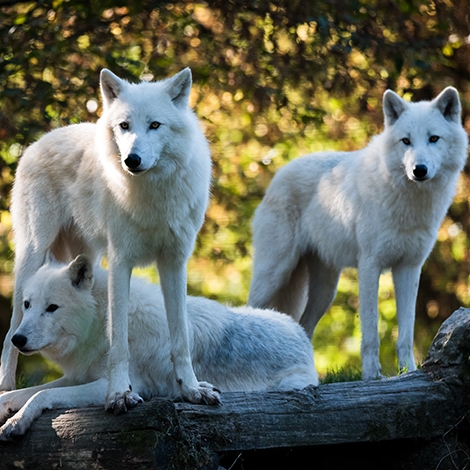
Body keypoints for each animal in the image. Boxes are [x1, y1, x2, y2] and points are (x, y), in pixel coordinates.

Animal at [0, 68, 217, 410]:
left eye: (155, 125)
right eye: (124, 126)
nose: (132, 160)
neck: (151, 196)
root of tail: (43, 138)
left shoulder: (174, 262)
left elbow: (180, 337)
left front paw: (191, 390)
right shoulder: (120, 260)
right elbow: (118, 339)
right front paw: (119, 394)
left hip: (86, 257)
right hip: (31, 257)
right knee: (12, 329)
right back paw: (6, 387)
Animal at [0, 255, 320, 438]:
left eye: (52, 308)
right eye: (27, 305)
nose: (17, 339)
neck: (102, 323)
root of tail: (300, 332)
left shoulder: (118, 385)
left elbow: (42, 395)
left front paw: (16, 422)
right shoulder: (79, 375)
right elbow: (26, 392)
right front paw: (8, 408)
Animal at [248, 88, 468, 380]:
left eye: (434, 139)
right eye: (406, 141)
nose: (418, 170)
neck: (410, 203)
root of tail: (278, 174)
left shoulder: (409, 269)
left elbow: (406, 333)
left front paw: (408, 371)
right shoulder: (369, 266)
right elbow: (371, 331)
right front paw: (372, 376)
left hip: (324, 291)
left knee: (304, 325)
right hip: (274, 274)